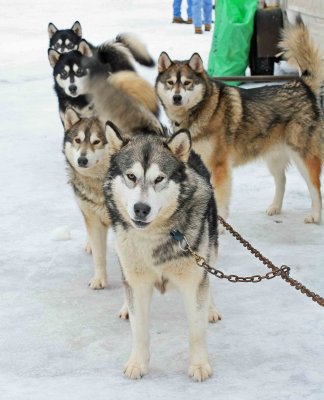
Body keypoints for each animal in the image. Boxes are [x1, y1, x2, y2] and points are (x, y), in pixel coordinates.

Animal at [104, 122, 220, 382]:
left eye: (159, 179)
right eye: (131, 176)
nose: (141, 208)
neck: (154, 237)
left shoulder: (193, 279)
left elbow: (196, 330)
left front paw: (199, 365)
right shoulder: (137, 282)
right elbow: (139, 329)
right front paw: (137, 363)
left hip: (211, 245)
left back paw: (211, 308)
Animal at [155, 17, 324, 223]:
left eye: (187, 83)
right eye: (170, 83)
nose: (176, 98)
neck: (200, 109)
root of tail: (301, 85)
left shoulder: (219, 167)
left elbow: (220, 198)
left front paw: (219, 224)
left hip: (303, 155)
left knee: (315, 187)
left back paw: (314, 215)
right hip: (273, 156)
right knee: (282, 180)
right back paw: (275, 207)